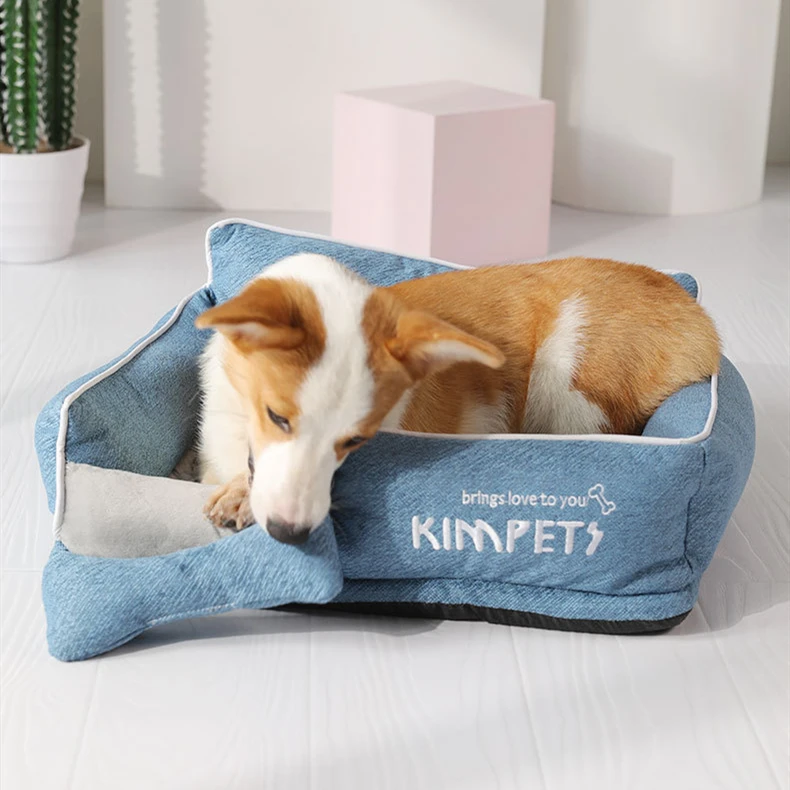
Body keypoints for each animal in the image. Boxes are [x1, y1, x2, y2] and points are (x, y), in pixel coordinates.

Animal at [195, 253, 719, 544]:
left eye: (355, 442)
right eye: (276, 417)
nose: (292, 533)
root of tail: (698, 316)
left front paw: (242, 499)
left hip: (569, 382)